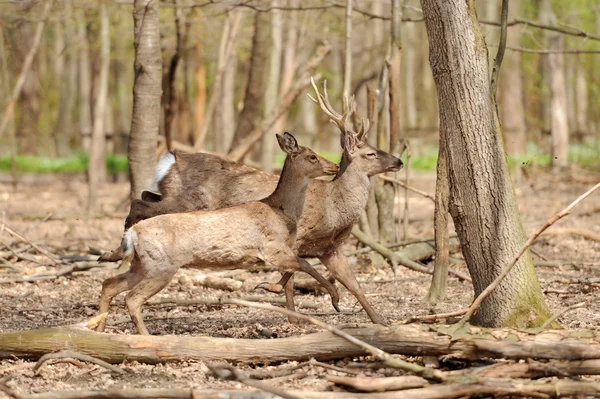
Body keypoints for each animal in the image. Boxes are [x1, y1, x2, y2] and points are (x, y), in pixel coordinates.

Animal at [99, 133, 342, 336]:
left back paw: (100, 327)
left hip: (142, 264)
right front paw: (335, 299)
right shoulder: (271, 248)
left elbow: (293, 271)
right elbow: (305, 265)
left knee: (109, 284)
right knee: (132, 298)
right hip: (161, 265)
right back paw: (146, 336)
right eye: (312, 156)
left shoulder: (281, 250)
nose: (336, 165)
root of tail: (133, 234)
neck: (281, 212)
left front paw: (267, 286)